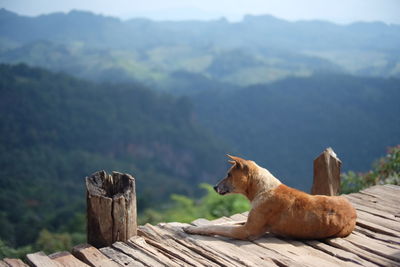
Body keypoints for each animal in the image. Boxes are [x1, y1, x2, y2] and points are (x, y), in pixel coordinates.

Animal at [184, 155, 356, 241]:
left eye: (229, 174)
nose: (214, 187)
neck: (264, 189)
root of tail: (353, 212)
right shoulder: (248, 221)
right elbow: (225, 222)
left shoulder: (246, 231)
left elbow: (218, 227)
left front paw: (195, 229)